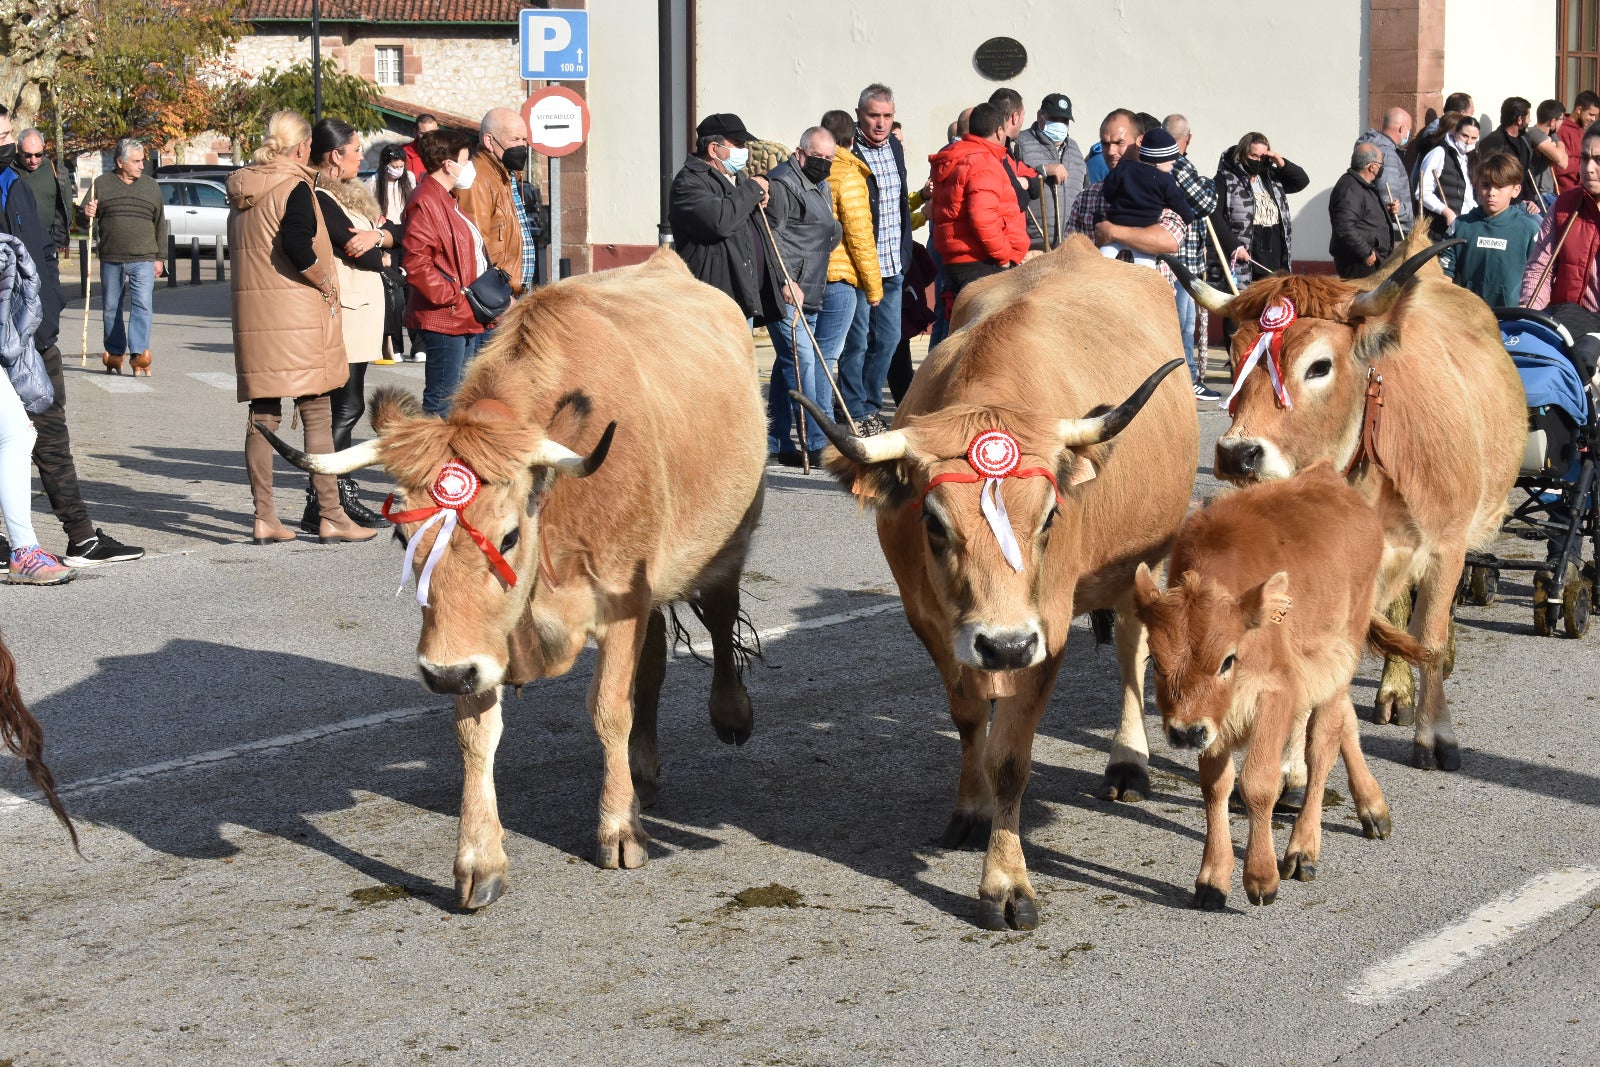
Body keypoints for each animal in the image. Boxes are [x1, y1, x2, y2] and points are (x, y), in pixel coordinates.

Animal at [257, 251, 768, 908]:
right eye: (402, 537)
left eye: (506, 538)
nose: (442, 674)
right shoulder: (474, 643)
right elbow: (476, 733)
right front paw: (480, 858)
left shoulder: (619, 600)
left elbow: (609, 708)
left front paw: (619, 829)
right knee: (652, 667)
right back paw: (642, 770)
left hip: (725, 538)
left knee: (720, 615)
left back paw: (729, 715)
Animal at [793, 233, 1196, 927]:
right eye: (931, 520)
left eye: (1051, 515)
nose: (1006, 644)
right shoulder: (931, 620)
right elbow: (968, 718)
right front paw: (973, 809)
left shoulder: (1048, 626)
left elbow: (1010, 756)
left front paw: (1006, 881)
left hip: (1144, 558)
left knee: (1132, 648)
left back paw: (1128, 762)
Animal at [1132, 463, 1433, 908]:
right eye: (1153, 660)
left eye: (1227, 660)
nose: (1185, 733)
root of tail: (1332, 483)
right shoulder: (1217, 720)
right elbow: (1215, 786)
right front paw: (1212, 879)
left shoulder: (1275, 695)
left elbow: (1259, 782)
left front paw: (1261, 878)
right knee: (1346, 724)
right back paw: (1372, 809)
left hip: (1340, 660)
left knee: (1323, 745)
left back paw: (1303, 851)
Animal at [1164, 238, 1523, 771]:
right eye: (1233, 356)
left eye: (1318, 366)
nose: (1236, 452)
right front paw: (1293, 763)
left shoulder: (1447, 545)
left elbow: (1432, 639)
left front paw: (1435, 733)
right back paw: (1394, 688)